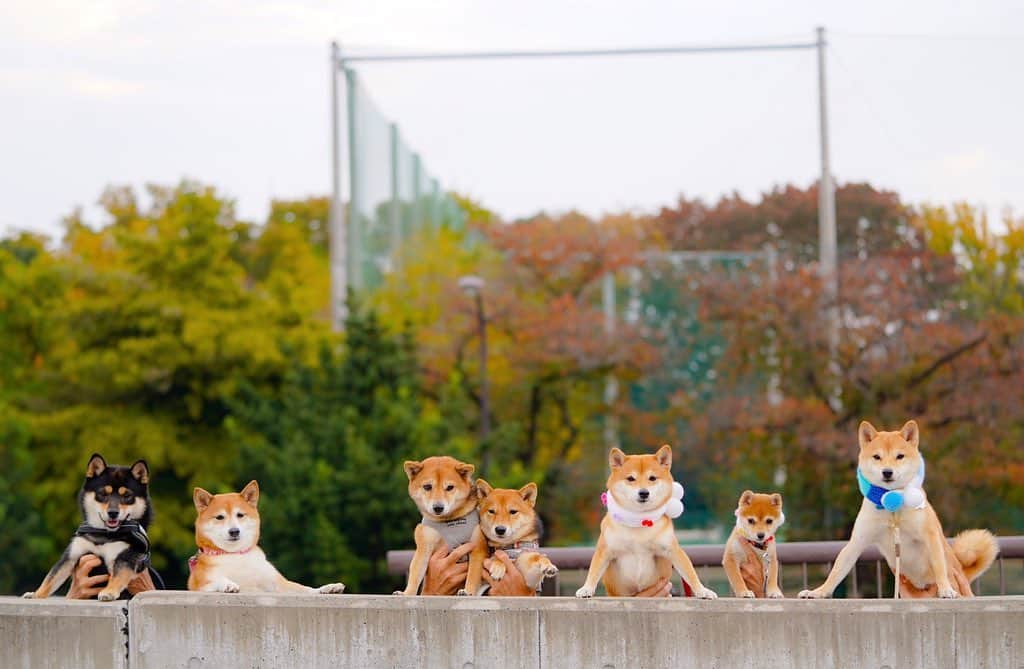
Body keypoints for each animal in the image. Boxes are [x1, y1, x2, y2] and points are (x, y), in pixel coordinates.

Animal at [24, 454, 152, 598]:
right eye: (103, 494)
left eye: (127, 496)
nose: (113, 513)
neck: (103, 534)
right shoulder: (71, 555)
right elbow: (51, 578)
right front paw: (37, 594)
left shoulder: (127, 557)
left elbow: (119, 576)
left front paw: (109, 591)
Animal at [191, 479, 348, 594]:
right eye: (219, 517)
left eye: (240, 515)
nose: (234, 531)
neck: (236, 554)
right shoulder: (200, 585)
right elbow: (217, 581)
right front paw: (228, 584)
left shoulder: (276, 584)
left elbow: (306, 589)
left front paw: (327, 588)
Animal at [397, 454, 481, 594]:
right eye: (427, 487)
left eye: (450, 487)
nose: (438, 508)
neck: (448, 521)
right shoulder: (425, 545)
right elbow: (415, 573)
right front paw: (407, 594)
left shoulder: (478, 546)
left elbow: (473, 575)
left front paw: (467, 592)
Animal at [573, 446, 716, 598]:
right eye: (631, 478)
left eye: (652, 478)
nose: (643, 492)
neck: (639, 519)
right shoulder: (604, 550)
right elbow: (593, 571)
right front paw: (586, 588)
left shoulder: (672, 550)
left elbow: (690, 573)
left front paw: (703, 590)